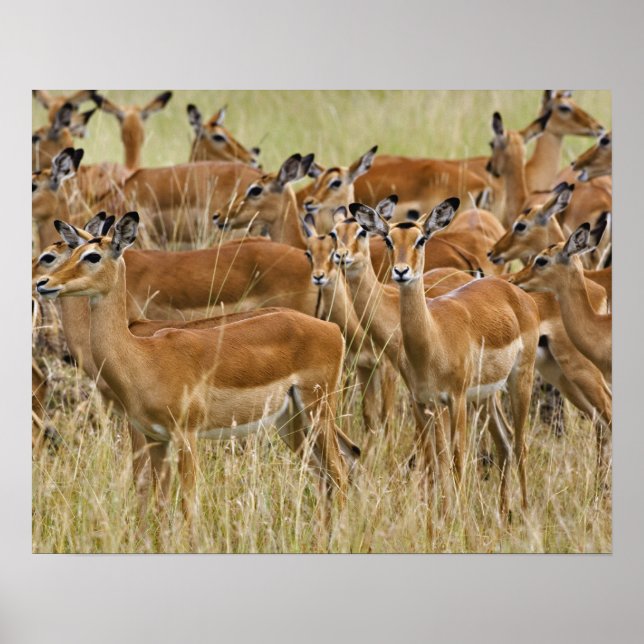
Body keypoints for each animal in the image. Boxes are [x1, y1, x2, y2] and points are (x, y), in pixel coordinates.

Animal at [35, 213, 360, 530]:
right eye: (71, 252)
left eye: (92, 256)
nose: (43, 283)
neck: (142, 355)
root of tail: (331, 329)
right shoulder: (156, 437)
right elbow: (160, 502)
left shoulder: (184, 435)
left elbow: (187, 504)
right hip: (289, 421)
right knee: (327, 473)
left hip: (317, 411)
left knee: (339, 470)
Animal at [348, 198, 541, 514]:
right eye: (389, 239)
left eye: (421, 239)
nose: (401, 271)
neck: (432, 339)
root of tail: (515, 292)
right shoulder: (422, 402)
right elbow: (434, 461)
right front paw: (437, 516)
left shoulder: (456, 399)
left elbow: (456, 459)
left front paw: (457, 516)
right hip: (485, 396)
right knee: (505, 442)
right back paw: (504, 514)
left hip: (519, 380)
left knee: (521, 443)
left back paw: (524, 512)